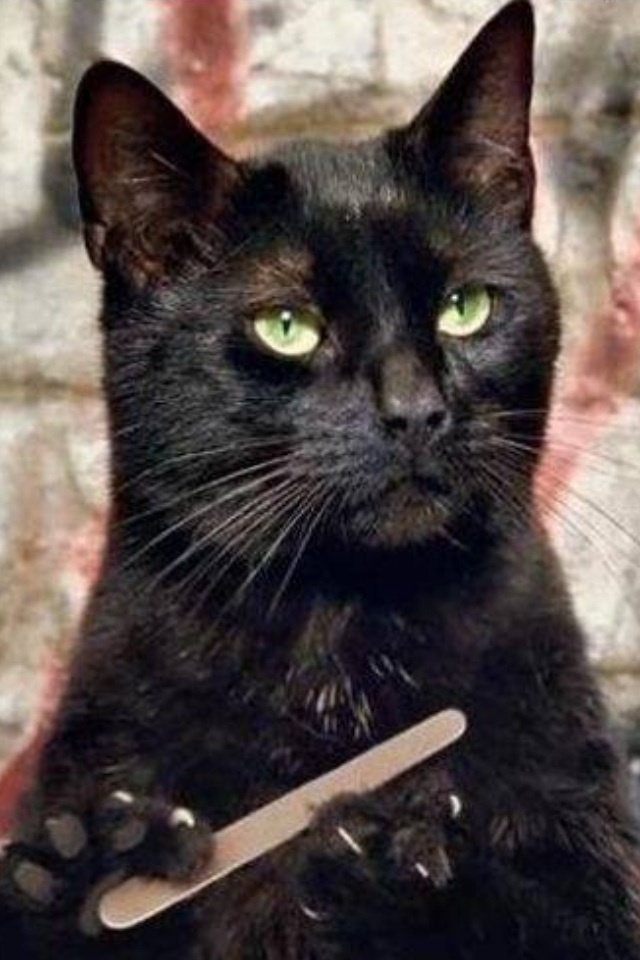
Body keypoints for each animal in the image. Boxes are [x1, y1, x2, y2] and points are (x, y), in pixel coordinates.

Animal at [1, 1, 639, 958]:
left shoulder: (595, 862)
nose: (415, 410)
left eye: (465, 308)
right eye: (287, 325)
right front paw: (91, 866)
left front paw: (397, 853)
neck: (337, 630)